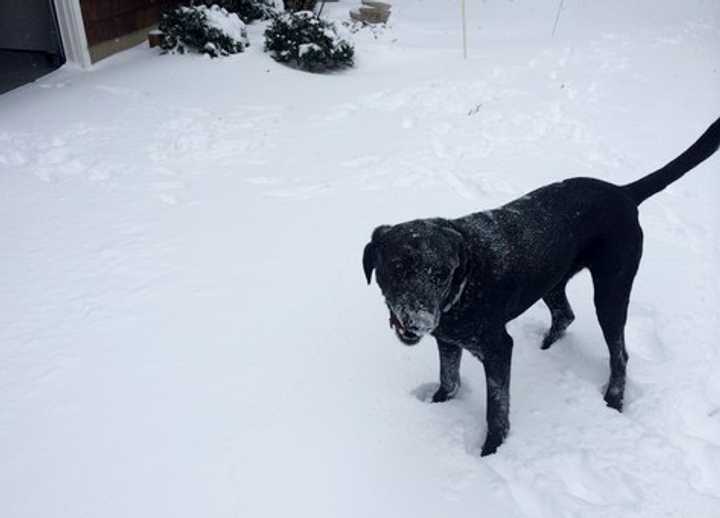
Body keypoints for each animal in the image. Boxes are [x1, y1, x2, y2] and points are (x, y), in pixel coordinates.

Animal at [362, 117, 720, 456]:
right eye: (397, 267)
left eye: (442, 273)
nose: (418, 321)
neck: (462, 288)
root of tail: (624, 193)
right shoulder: (448, 341)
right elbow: (448, 382)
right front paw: (436, 406)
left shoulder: (496, 348)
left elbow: (496, 409)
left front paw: (491, 450)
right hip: (552, 280)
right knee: (565, 314)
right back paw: (547, 347)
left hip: (611, 291)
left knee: (619, 354)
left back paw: (614, 400)